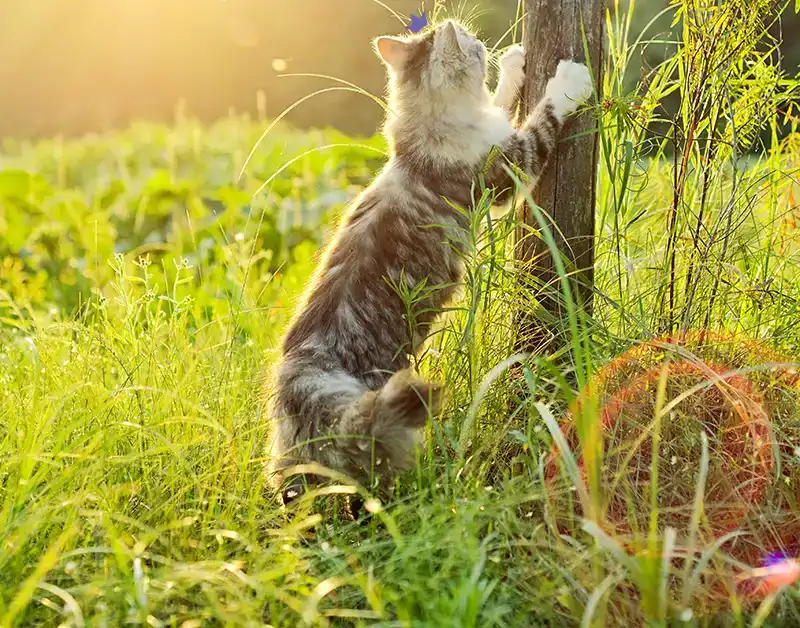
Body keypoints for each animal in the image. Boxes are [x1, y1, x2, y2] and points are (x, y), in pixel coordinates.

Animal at [266, 19, 592, 506]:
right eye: (472, 44)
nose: (479, 38)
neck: (420, 140)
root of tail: (301, 391)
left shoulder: (494, 130)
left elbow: (501, 99)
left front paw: (514, 62)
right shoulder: (510, 168)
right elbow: (543, 117)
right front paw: (569, 81)